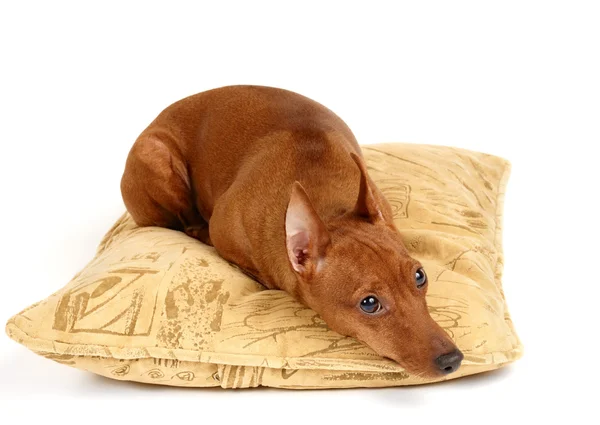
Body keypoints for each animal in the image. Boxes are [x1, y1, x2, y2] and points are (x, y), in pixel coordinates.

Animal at [119, 84, 462, 376]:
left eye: (420, 276)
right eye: (369, 303)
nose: (452, 359)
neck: (327, 207)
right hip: (156, 157)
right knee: (188, 224)